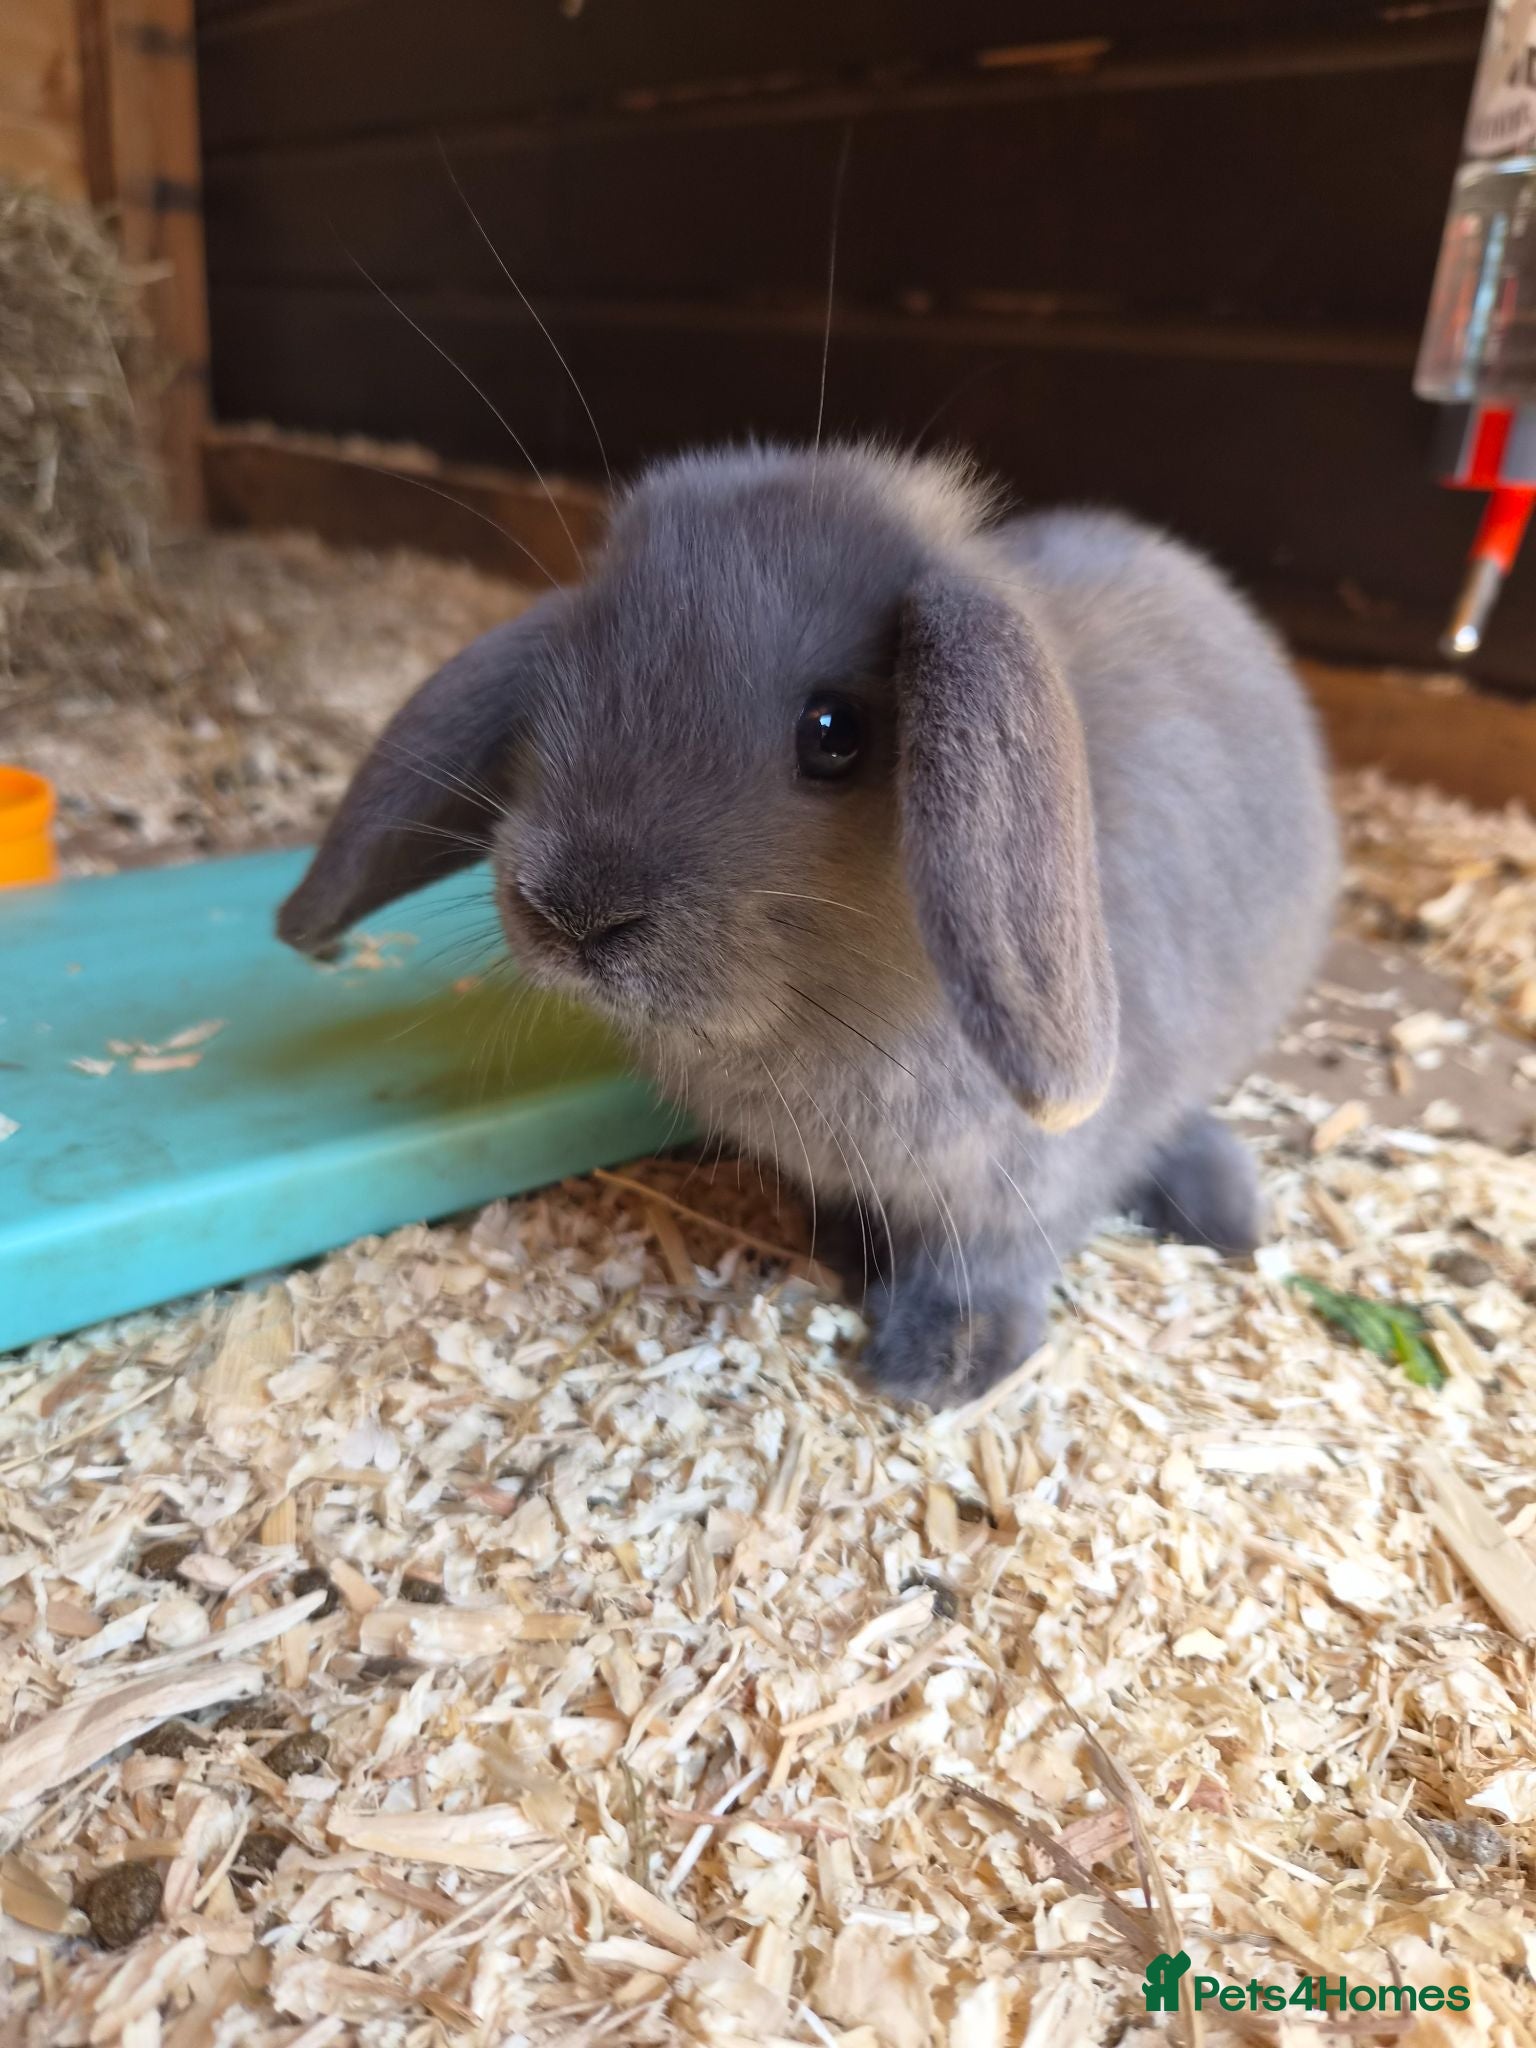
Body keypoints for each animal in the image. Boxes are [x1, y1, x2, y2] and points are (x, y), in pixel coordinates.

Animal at [277, 442, 1338, 1407]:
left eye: (834, 733)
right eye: (555, 693)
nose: (572, 911)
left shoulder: (1027, 1182)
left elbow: (993, 1258)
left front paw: (938, 1367)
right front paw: (847, 1254)